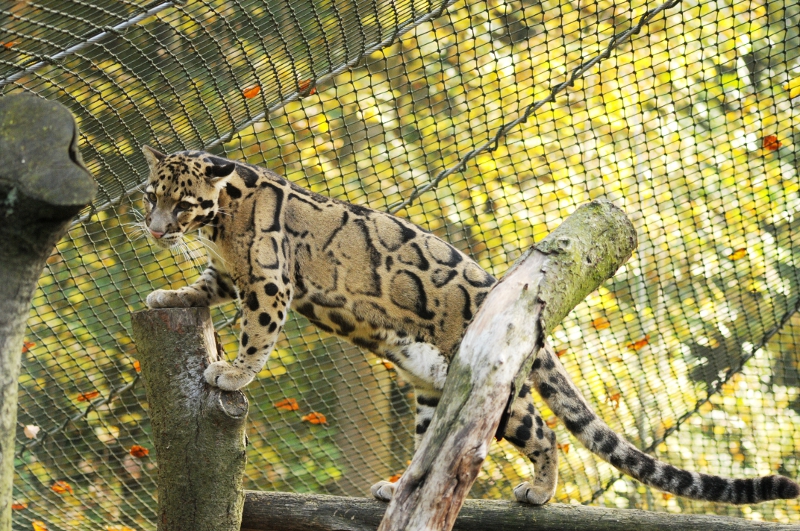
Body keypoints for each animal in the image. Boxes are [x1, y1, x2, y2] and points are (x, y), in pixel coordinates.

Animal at [140, 145, 800, 506]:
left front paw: (232, 373)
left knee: (544, 430)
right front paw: (167, 293)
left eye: (183, 203)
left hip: (499, 393)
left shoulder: (270, 281)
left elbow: (256, 334)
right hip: (434, 386)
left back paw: (538, 492)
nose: (154, 229)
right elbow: (203, 286)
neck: (220, 222)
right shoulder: (231, 274)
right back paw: (397, 486)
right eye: (151, 195)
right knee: (431, 444)